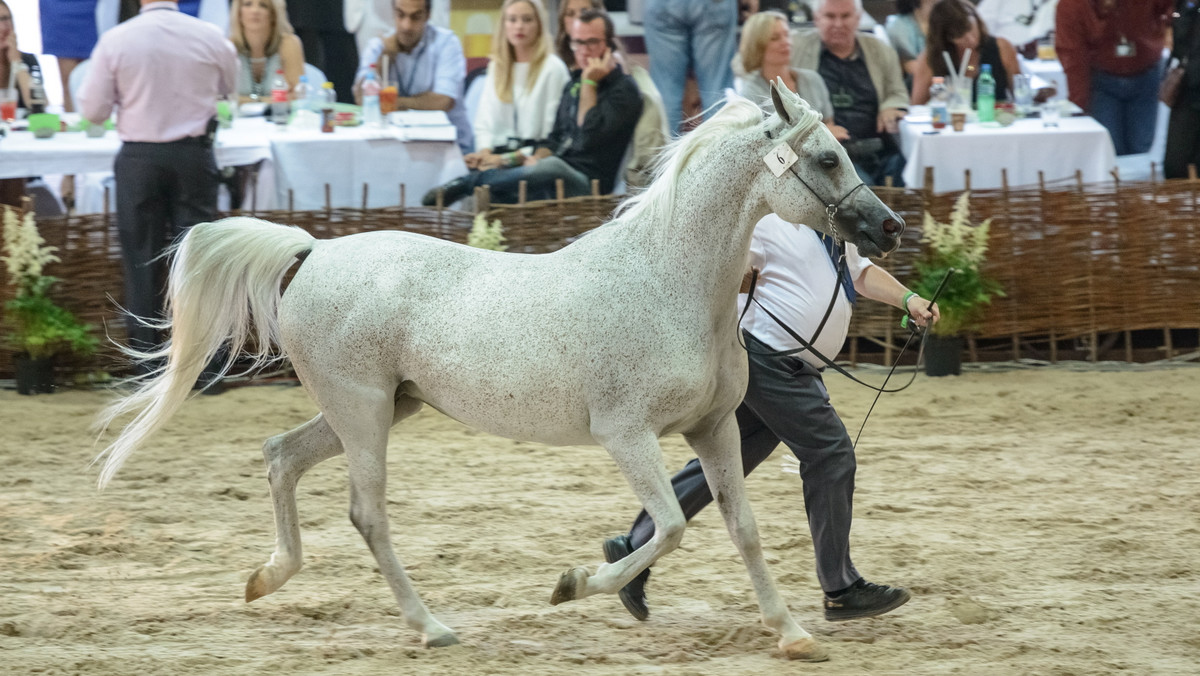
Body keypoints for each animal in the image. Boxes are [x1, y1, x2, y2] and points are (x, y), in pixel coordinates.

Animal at [96, 83, 902, 662]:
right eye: (826, 159)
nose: (889, 227)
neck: (666, 281)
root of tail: (311, 251)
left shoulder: (712, 429)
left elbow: (743, 528)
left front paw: (793, 633)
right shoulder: (626, 434)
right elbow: (671, 526)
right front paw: (572, 585)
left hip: (382, 406)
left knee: (280, 457)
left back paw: (267, 578)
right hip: (364, 412)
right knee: (365, 513)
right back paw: (431, 627)